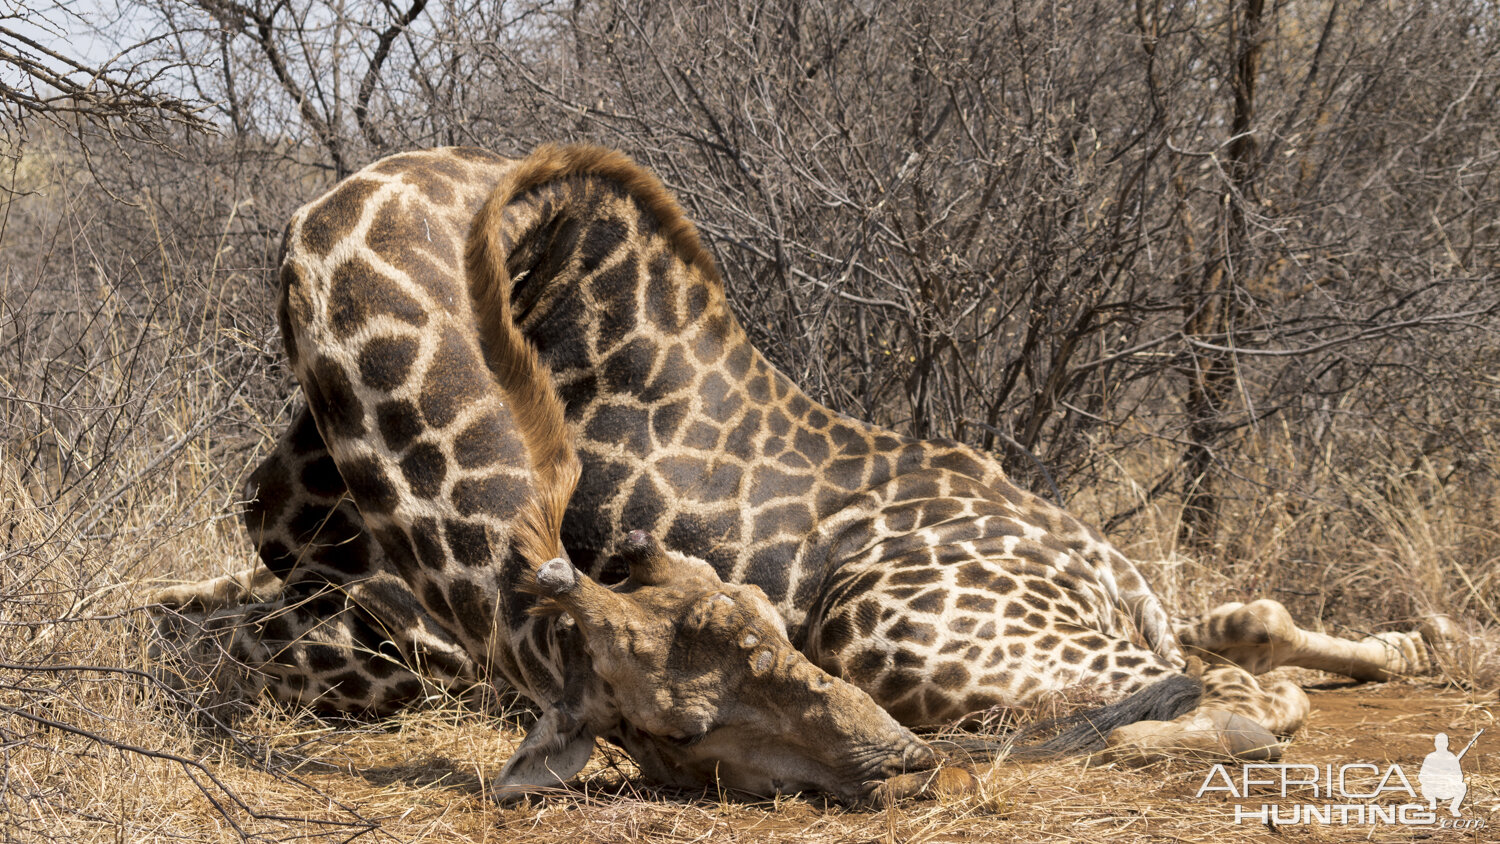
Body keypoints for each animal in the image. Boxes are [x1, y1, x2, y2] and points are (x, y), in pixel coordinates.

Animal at [149, 145, 1440, 803]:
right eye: (683, 719)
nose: (889, 771)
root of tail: (1111, 582)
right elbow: (181, 617)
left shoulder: (382, 617)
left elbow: (212, 643)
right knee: (1241, 641)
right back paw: (1421, 638)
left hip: (896, 620)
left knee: (1216, 699)